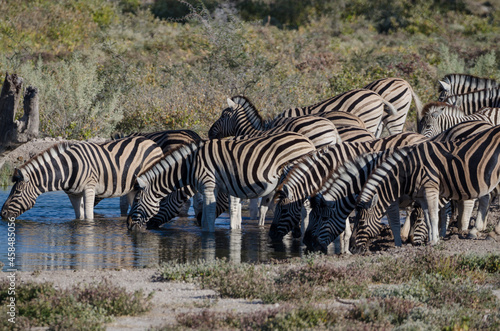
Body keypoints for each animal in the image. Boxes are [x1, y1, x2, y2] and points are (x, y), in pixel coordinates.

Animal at [0, 136, 163, 222]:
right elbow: (79, 216)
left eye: (17, 193)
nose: (2, 214)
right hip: (132, 187)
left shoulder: (89, 189)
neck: (66, 169)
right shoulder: (73, 194)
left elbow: (89, 216)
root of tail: (151, 141)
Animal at [125, 132, 314, 233]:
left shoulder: (208, 185)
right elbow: (230, 213)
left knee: (306, 208)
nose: (128, 224)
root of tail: (308, 142)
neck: (189, 166)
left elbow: (208, 216)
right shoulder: (226, 187)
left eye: (137, 200)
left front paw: (208, 237)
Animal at [352, 126, 500, 253]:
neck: (410, 169)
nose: (353, 250)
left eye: (361, 223)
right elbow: (428, 218)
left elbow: (433, 216)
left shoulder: (430, 189)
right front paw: (432, 239)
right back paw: (476, 231)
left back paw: (493, 233)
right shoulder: (421, 196)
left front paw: (434, 241)